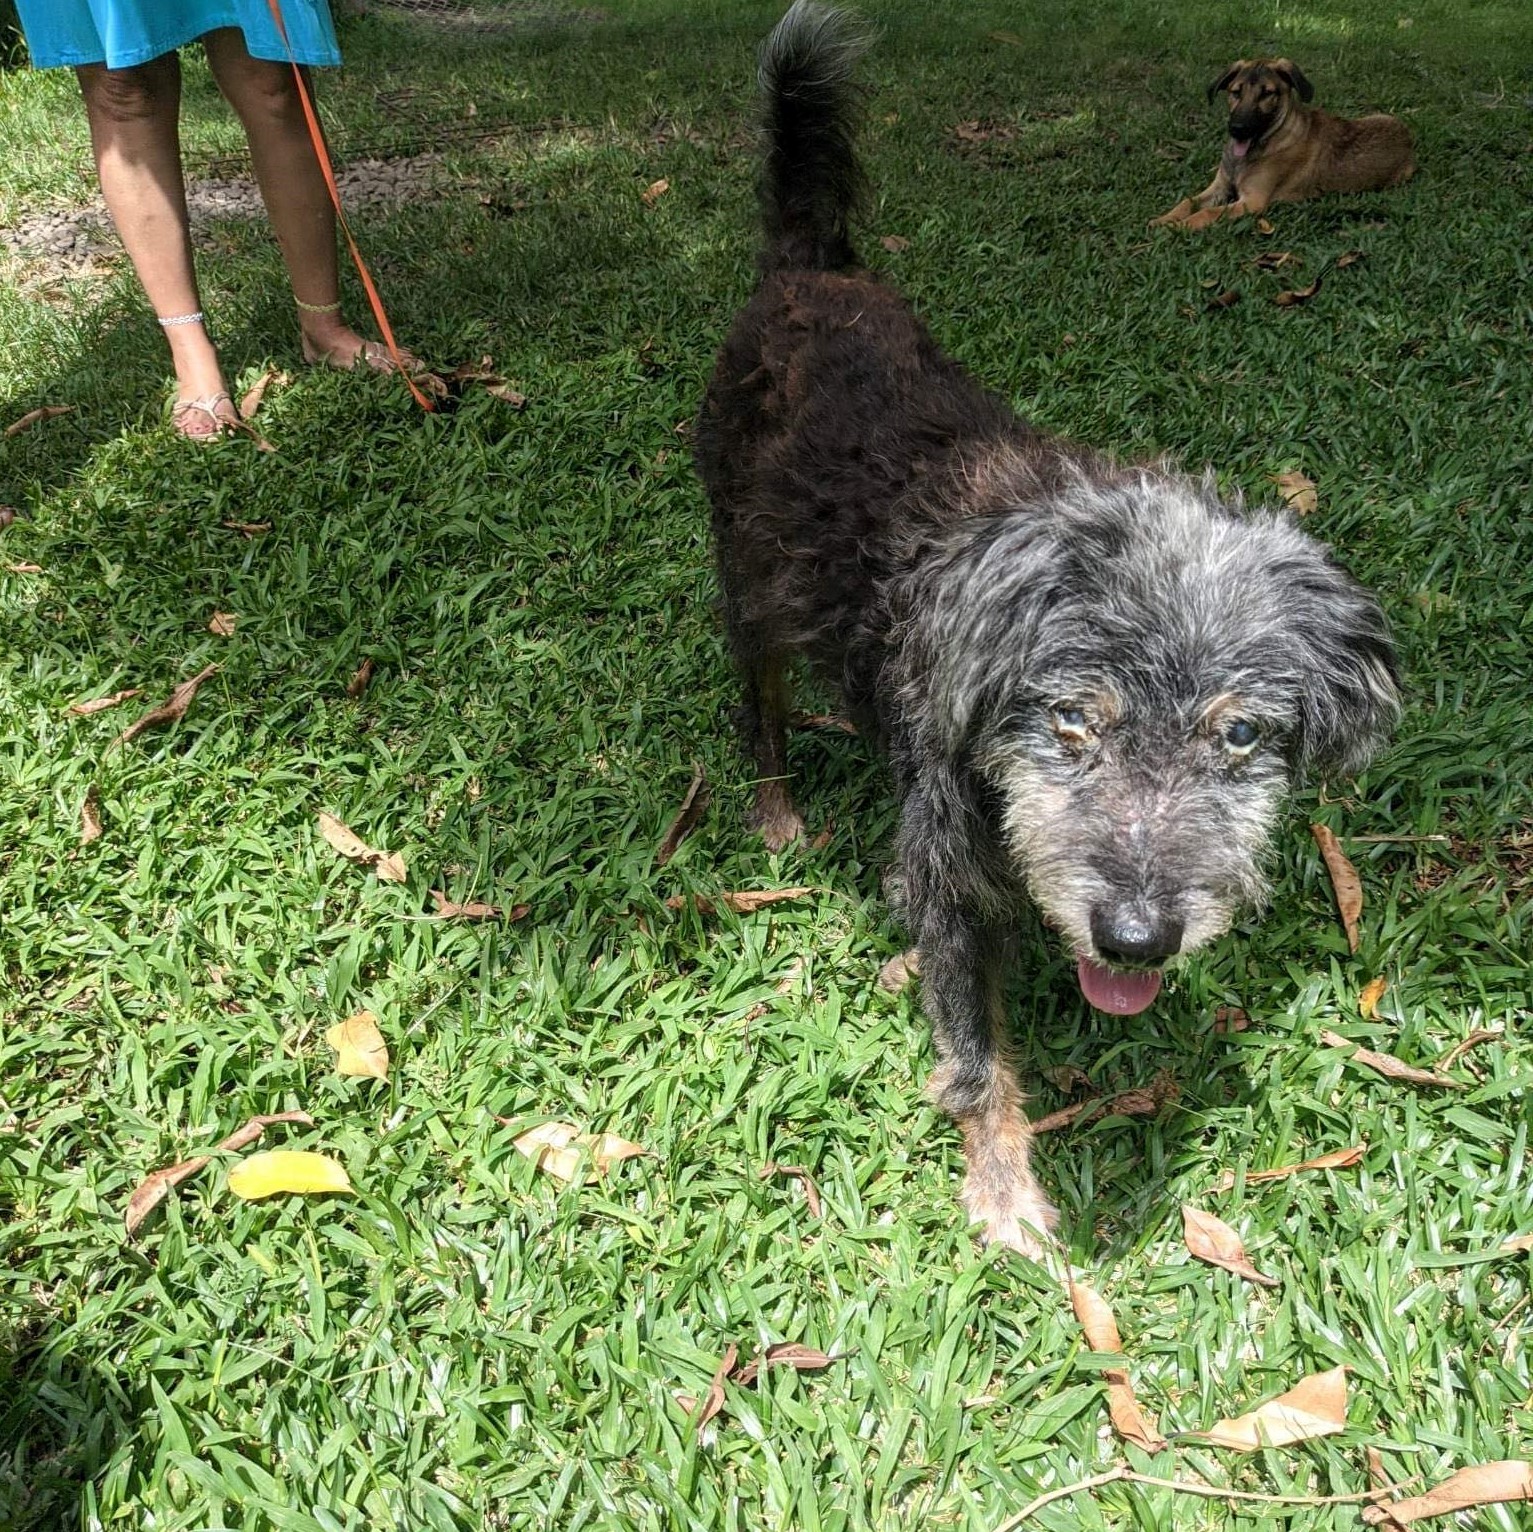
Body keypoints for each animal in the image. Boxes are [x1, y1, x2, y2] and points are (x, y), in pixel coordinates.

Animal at [1152, 57, 1410, 230]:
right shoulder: (1219, 187)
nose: (1237, 129)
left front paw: (1178, 227)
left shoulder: (1252, 202)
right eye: (1236, 92)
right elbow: (1187, 202)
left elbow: (1206, 213)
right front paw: (1164, 219)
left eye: (1267, 94)